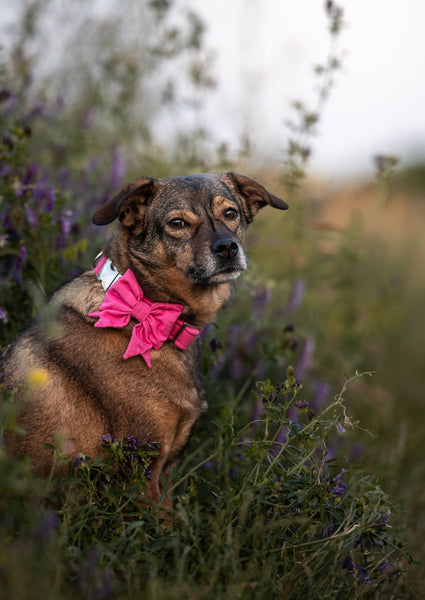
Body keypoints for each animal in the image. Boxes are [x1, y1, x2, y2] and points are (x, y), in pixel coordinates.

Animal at [0, 172, 288, 510]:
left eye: (230, 214)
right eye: (177, 223)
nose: (228, 247)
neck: (144, 308)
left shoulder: (164, 471)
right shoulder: (140, 472)